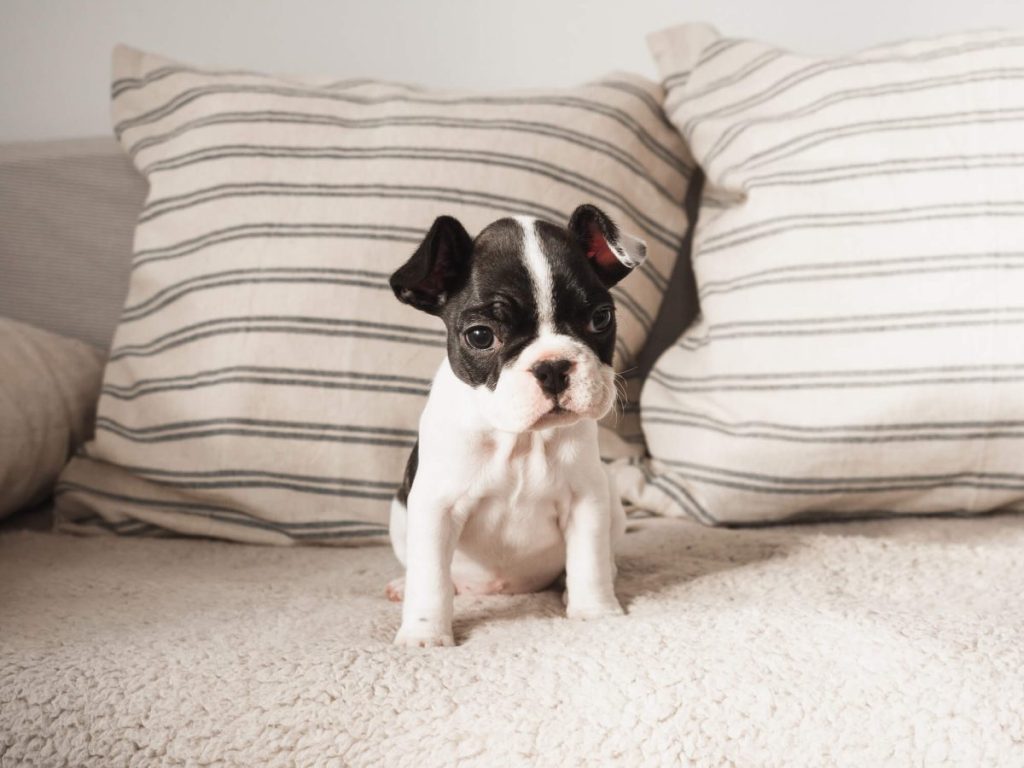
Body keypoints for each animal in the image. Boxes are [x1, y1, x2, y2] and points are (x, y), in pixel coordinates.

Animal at [387, 204, 643, 651]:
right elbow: (430, 579)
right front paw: (425, 634)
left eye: (600, 318)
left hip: (612, 500)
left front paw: (595, 610)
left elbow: (588, 559)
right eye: (480, 336)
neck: (520, 438)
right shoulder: (435, 508)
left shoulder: (587, 500)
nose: (553, 366)